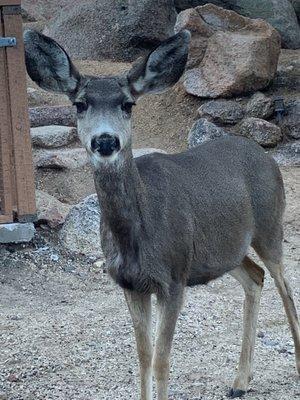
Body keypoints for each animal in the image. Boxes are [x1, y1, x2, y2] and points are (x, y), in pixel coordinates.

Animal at [24, 29, 298, 398]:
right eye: (80, 104)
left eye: (128, 104)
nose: (106, 141)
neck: (139, 236)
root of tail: (265, 156)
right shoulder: (130, 283)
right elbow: (142, 357)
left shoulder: (174, 277)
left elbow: (161, 361)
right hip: (222, 251)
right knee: (256, 277)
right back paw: (240, 382)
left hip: (269, 226)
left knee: (286, 289)